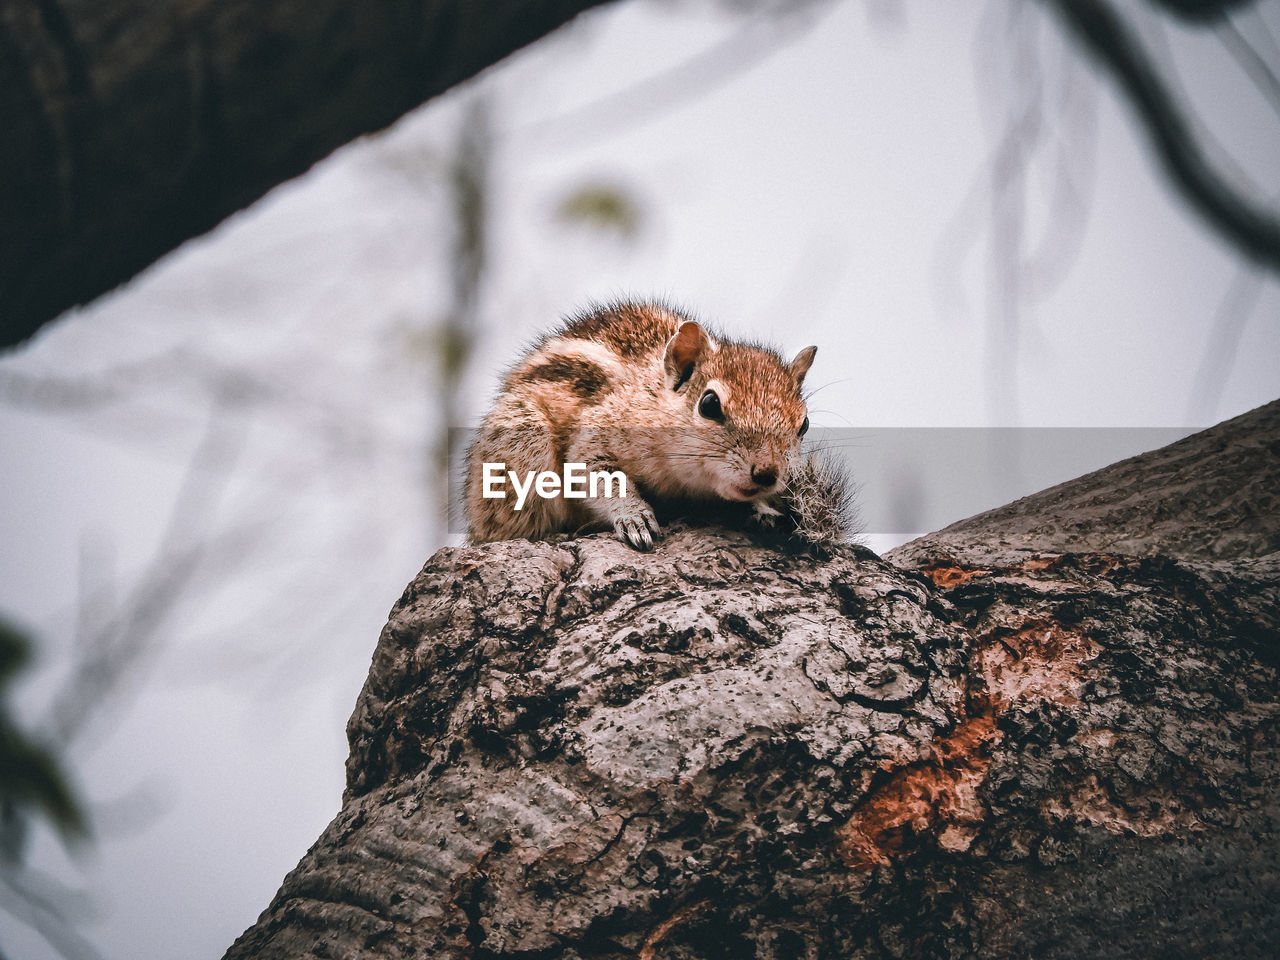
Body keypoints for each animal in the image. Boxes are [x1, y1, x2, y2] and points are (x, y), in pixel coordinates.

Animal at [465, 304, 855, 552]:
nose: (766, 473)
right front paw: (634, 518)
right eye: (709, 404)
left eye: (804, 424)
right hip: (521, 443)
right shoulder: (593, 438)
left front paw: (762, 511)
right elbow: (599, 476)